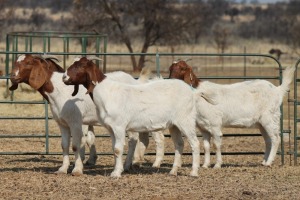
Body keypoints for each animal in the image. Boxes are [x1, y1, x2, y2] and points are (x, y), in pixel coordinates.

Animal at [62, 57, 200, 177]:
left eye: (81, 66)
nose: (64, 77)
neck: (107, 92)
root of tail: (191, 92)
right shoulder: (111, 128)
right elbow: (114, 149)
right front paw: (117, 169)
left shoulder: (119, 126)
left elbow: (118, 149)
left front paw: (116, 173)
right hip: (174, 124)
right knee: (179, 144)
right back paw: (173, 171)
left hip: (186, 120)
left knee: (195, 143)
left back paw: (193, 172)